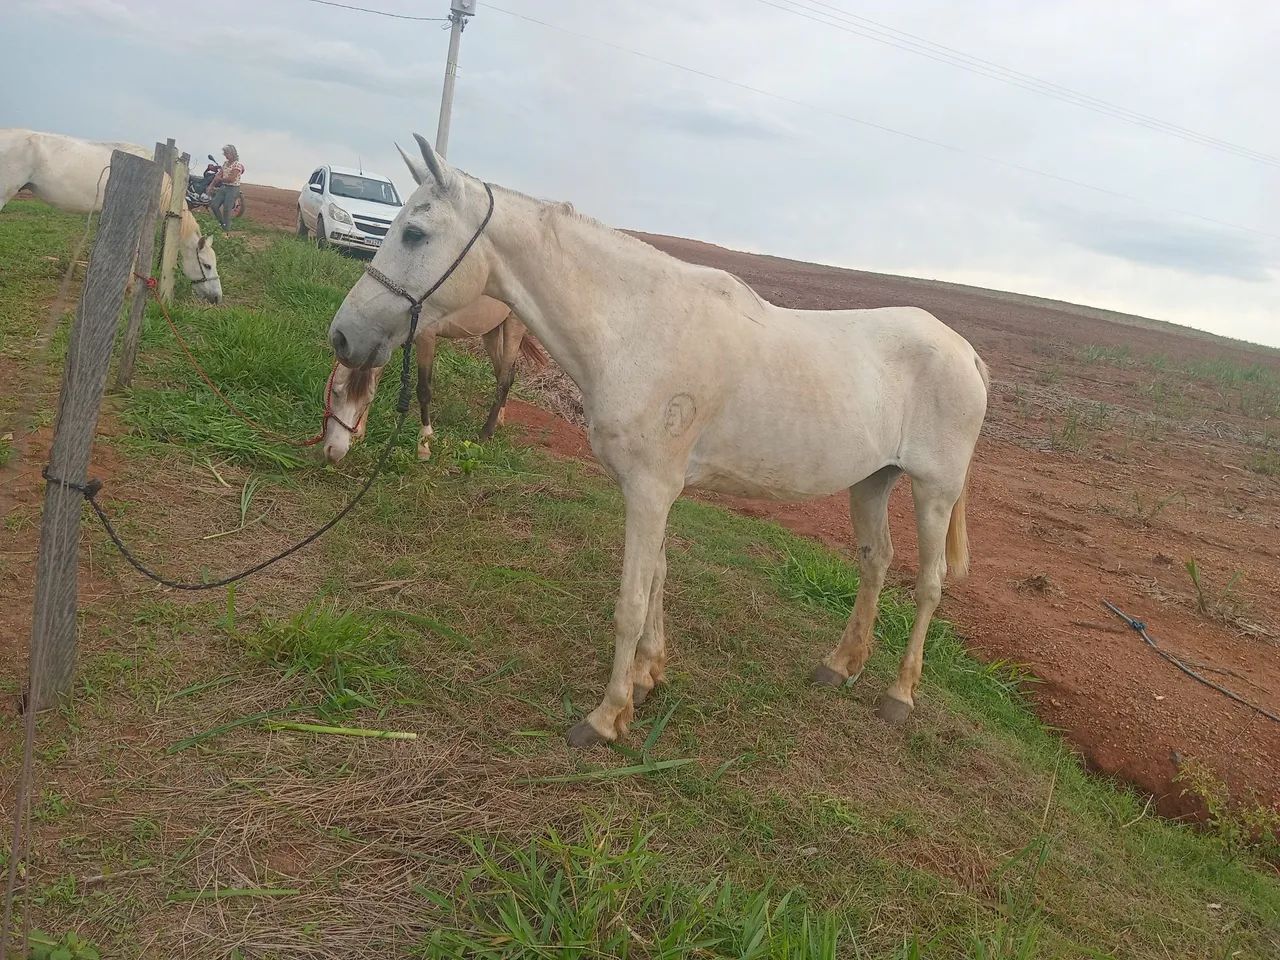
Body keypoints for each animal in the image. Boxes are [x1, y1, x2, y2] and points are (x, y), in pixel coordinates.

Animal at [321, 294, 547, 463]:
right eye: (335, 392)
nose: (334, 452)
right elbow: (376, 380)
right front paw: (360, 435)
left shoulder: (426, 337)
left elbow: (423, 390)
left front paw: (424, 445)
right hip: (490, 329)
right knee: (505, 374)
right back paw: (499, 419)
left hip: (514, 326)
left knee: (504, 380)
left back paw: (485, 434)